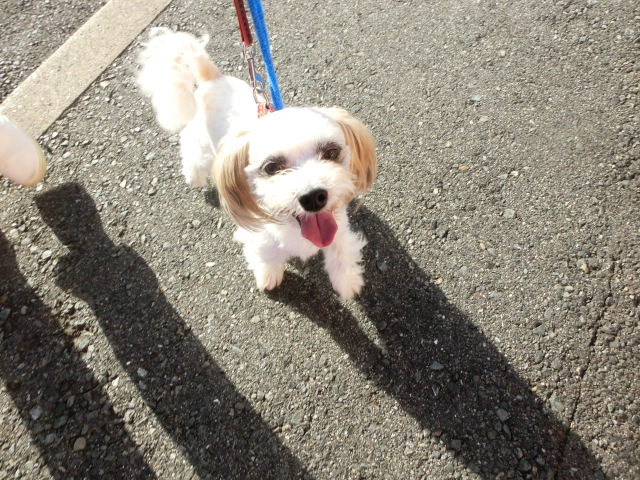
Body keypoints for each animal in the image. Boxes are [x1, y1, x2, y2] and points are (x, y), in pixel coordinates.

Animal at [137, 28, 377, 300]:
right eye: (271, 167)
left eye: (331, 152)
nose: (313, 197)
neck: (295, 226)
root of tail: (213, 78)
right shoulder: (259, 234)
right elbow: (266, 255)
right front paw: (268, 276)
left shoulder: (338, 227)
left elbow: (341, 253)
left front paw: (347, 282)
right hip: (202, 145)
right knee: (192, 154)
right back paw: (193, 176)